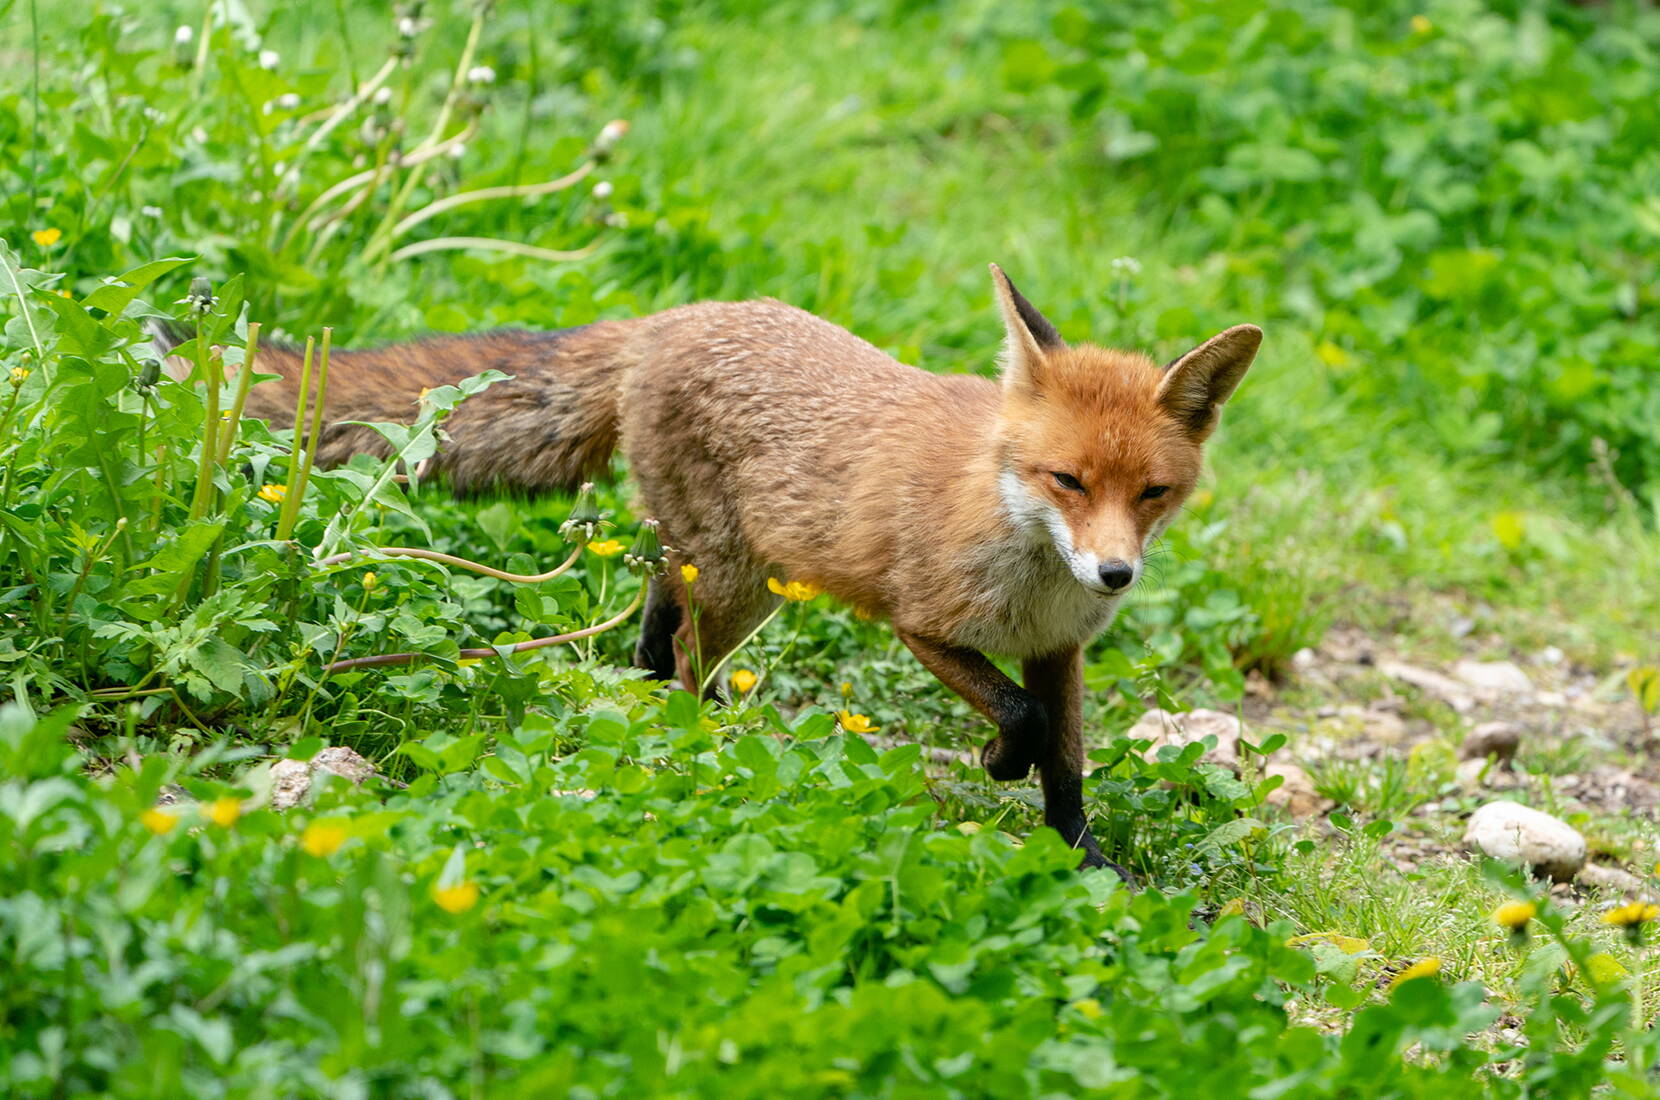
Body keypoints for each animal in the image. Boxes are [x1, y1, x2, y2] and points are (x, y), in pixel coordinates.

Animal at [161, 267, 1261, 869]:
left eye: (1151, 492)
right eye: (1066, 478)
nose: (1114, 575)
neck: (1024, 559)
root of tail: (661, 320)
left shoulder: (1059, 651)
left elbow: (1068, 765)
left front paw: (1085, 863)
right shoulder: (920, 620)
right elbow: (1025, 722)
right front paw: (998, 761)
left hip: (723, 568)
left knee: (657, 616)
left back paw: (643, 693)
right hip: (737, 583)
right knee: (690, 662)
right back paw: (697, 756)